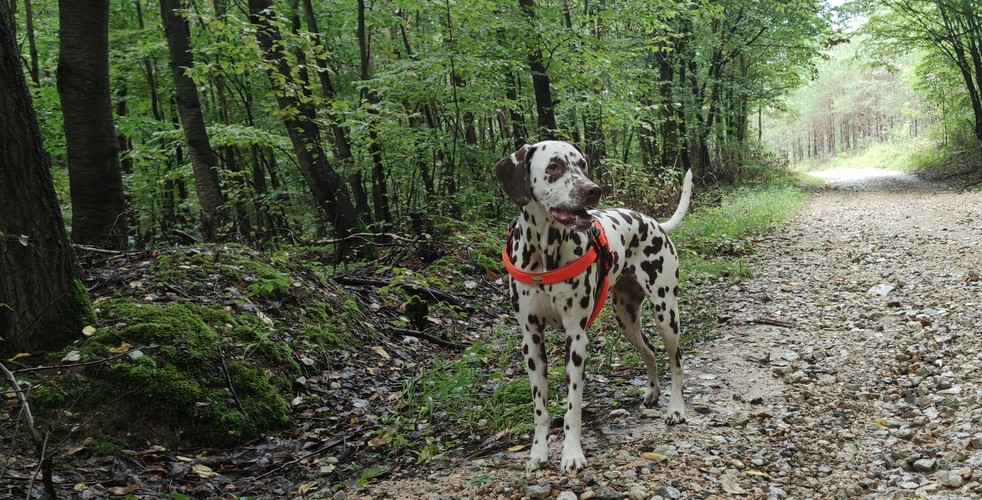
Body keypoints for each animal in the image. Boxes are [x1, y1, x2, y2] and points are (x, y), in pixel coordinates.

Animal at [500, 140, 692, 472]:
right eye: (553, 166)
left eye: (583, 164)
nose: (593, 190)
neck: (545, 254)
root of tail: (653, 221)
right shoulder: (531, 341)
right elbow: (540, 407)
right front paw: (538, 453)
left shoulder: (576, 339)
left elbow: (573, 406)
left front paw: (572, 454)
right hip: (626, 319)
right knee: (650, 352)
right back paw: (653, 392)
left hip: (666, 312)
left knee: (676, 360)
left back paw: (676, 409)